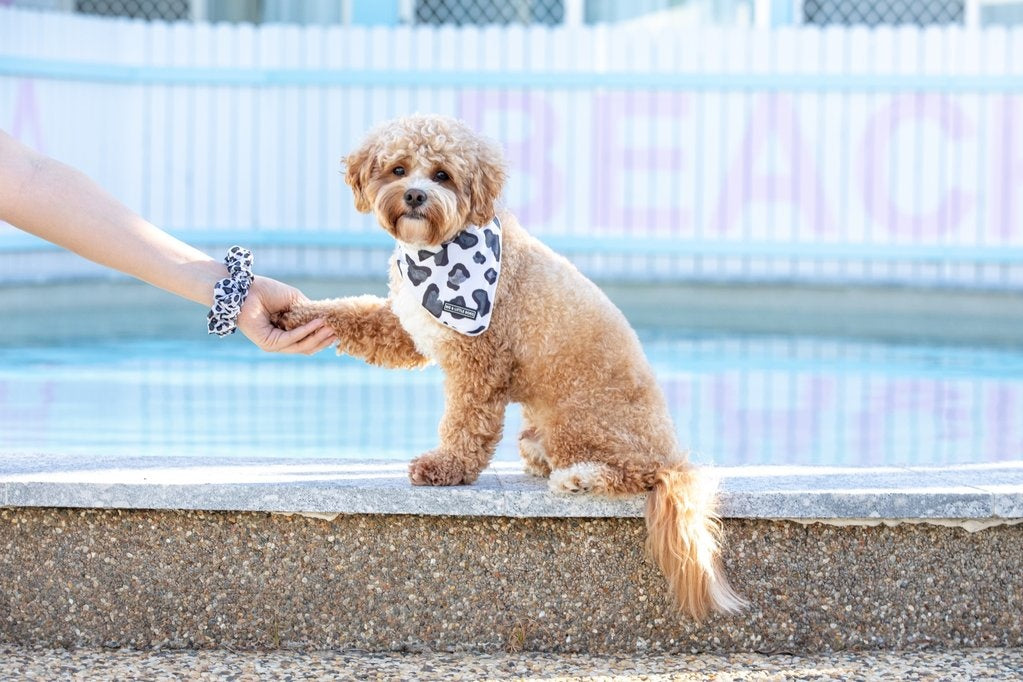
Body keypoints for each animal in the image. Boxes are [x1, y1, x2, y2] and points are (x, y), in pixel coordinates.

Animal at [280, 113, 744, 617]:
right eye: (398, 169)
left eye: (442, 174)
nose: (416, 196)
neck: (441, 251)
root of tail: (673, 454)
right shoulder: (410, 325)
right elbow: (355, 314)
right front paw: (296, 313)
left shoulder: (480, 360)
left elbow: (465, 422)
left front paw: (446, 467)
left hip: (581, 422)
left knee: (638, 474)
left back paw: (579, 478)